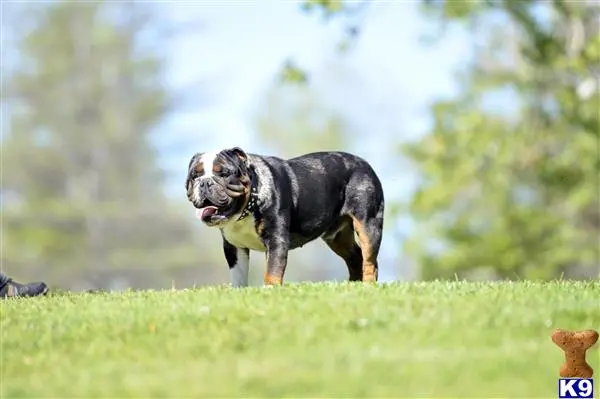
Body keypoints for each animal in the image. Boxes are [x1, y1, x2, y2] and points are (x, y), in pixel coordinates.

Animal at [185, 148, 386, 286]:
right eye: (194, 175)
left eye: (224, 173)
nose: (205, 183)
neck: (247, 206)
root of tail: (365, 164)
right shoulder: (234, 246)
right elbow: (238, 274)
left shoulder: (276, 239)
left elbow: (272, 269)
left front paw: (270, 289)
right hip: (337, 238)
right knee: (355, 258)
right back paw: (352, 286)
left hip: (367, 224)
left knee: (369, 259)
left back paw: (367, 285)